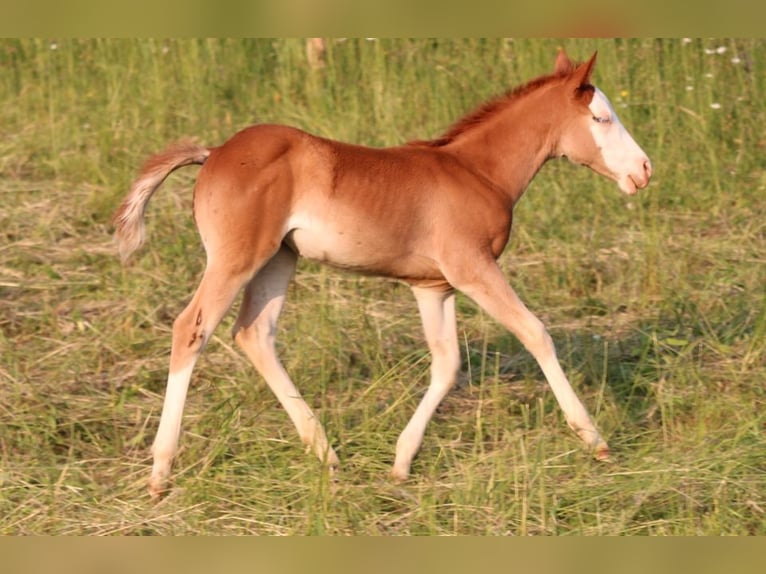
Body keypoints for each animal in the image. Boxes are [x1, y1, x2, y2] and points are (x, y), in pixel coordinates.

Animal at [114, 50, 656, 500]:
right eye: (601, 118)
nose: (645, 170)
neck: (476, 171)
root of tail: (214, 153)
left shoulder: (433, 287)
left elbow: (447, 364)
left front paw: (400, 463)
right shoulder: (472, 268)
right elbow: (536, 333)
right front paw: (595, 439)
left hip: (278, 259)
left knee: (255, 334)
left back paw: (326, 453)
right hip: (236, 258)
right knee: (192, 328)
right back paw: (161, 471)